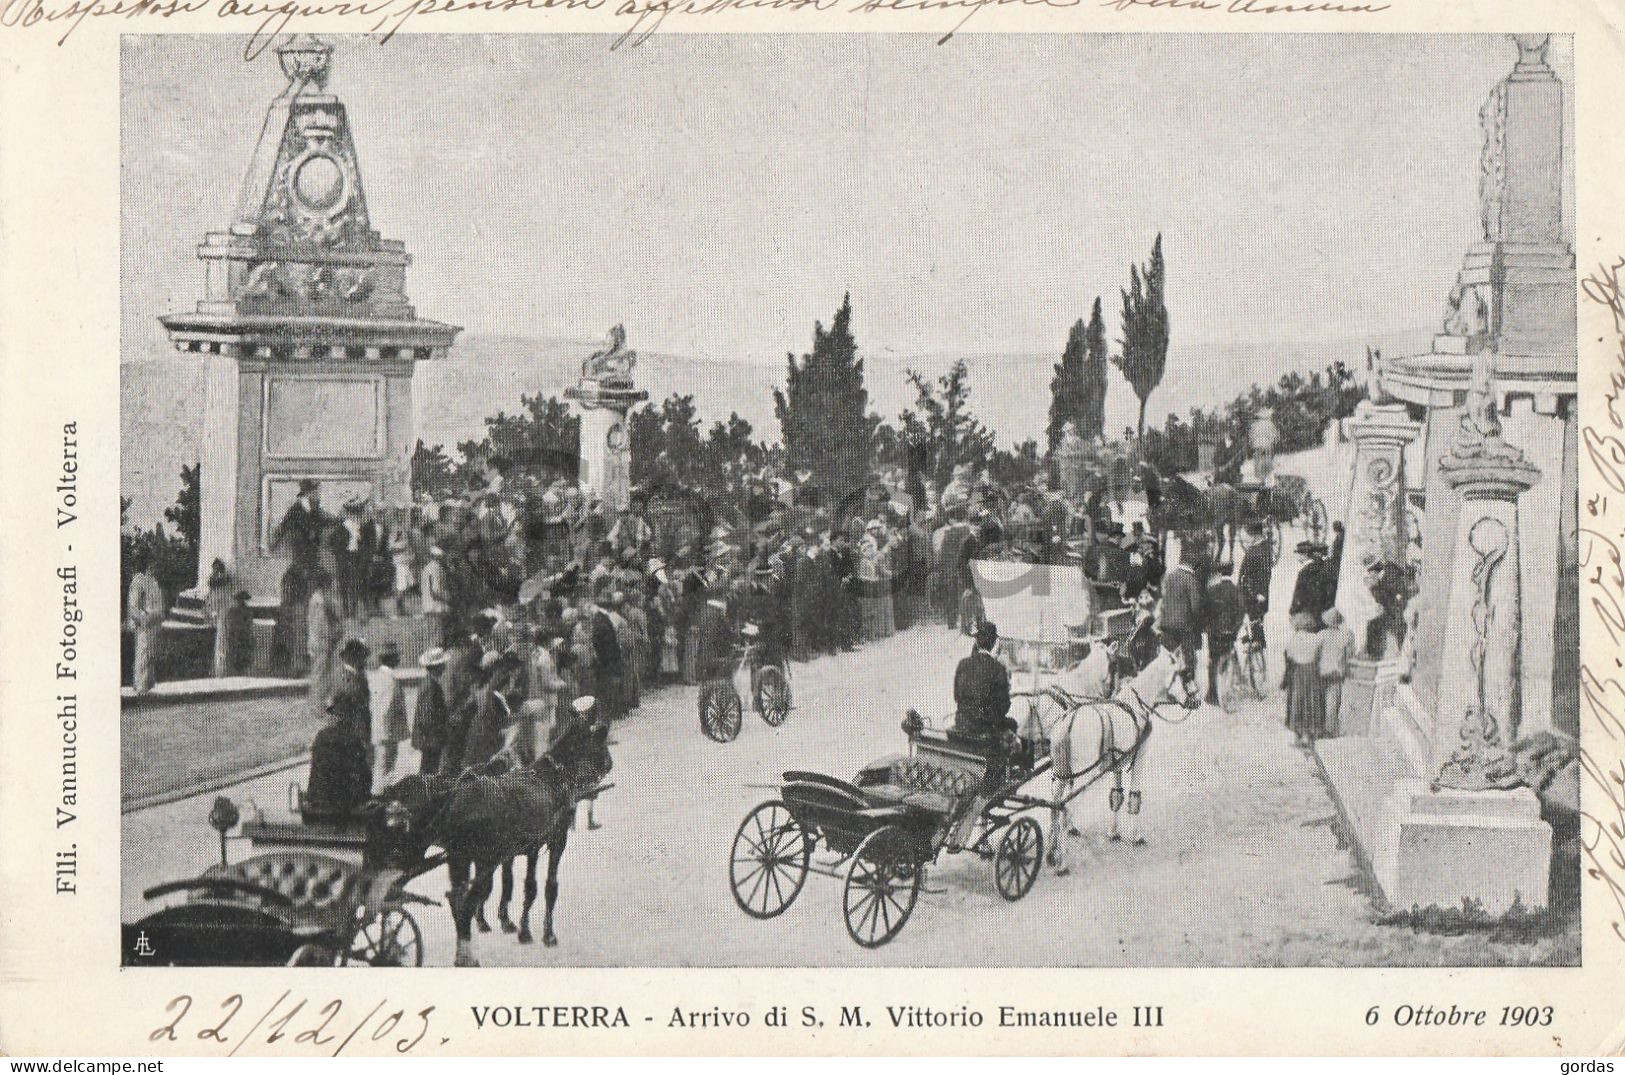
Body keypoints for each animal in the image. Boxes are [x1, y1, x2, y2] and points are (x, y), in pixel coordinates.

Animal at [1020, 639, 1202, 876]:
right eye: (1186, 674)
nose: (1198, 699)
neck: (1137, 704)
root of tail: (1068, 721)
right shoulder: (1139, 757)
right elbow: (1134, 796)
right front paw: (1136, 836)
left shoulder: (1115, 764)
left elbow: (1116, 796)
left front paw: (1114, 833)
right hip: (1082, 777)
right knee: (1067, 809)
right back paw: (1062, 863)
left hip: (1061, 776)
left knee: (1055, 807)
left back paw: (1051, 855)